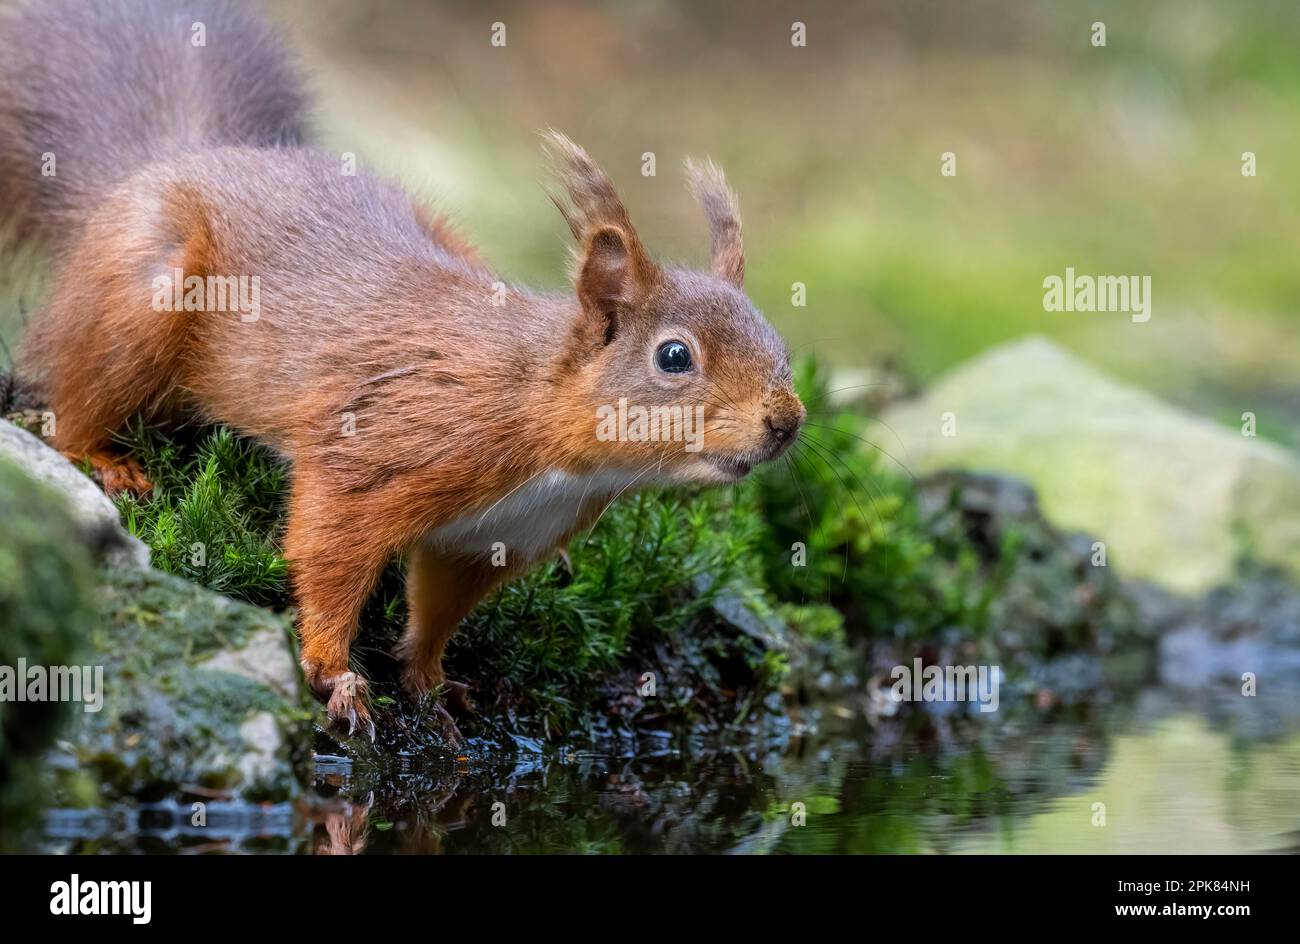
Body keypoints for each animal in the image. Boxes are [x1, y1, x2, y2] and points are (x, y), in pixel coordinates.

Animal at [3, 0, 806, 743]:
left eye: (781, 343)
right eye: (674, 356)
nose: (787, 422)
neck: (544, 425)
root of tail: (172, 161)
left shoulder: (495, 532)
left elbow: (440, 601)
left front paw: (431, 678)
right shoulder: (386, 444)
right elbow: (328, 549)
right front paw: (334, 673)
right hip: (144, 298)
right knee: (74, 396)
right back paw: (104, 458)